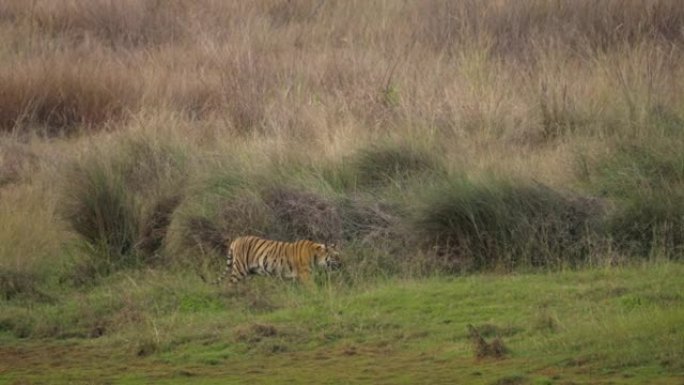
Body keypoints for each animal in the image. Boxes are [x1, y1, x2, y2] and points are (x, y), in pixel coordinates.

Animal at [214, 234, 342, 284]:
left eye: (339, 256)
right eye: (335, 256)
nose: (341, 265)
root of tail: (237, 239)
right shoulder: (305, 274)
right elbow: (312, 288)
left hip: (247, 271)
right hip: (239, 269)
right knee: (229, 283)